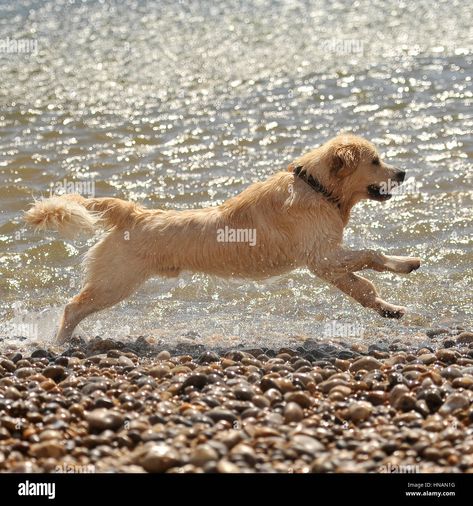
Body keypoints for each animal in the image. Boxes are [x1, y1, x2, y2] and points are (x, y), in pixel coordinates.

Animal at [24, 133, 418, 344]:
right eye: (375, 160)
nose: (402, 172)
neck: (317, 188)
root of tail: (134, 213)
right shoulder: (321, 256)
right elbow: (371, 254)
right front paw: (406, 263)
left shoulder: (326, 264)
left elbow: (362, 288)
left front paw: (389, 307)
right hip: (115, 282)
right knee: (73, 307)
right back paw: (58, 344)